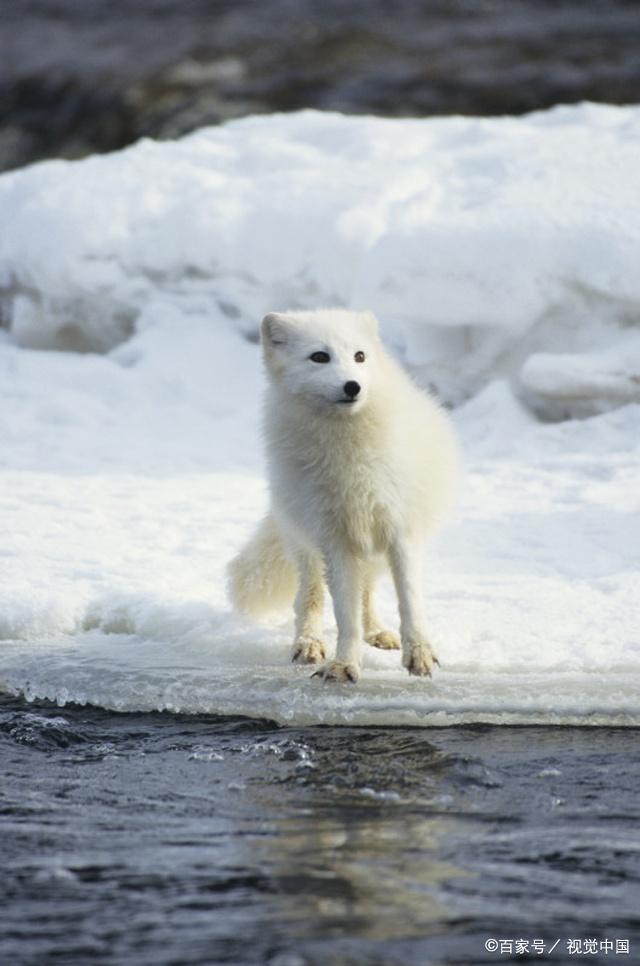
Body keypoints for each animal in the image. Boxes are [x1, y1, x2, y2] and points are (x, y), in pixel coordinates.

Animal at [228, 308, 458, 680]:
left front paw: (420, 654)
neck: (350, 459)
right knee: (310, 596)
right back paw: (308, 643)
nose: (353, 386)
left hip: (374, 550)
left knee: (367, 592)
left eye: (359, 356)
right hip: (306, 544)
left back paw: (376, 633)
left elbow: (409, 601)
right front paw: (344, 664)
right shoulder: (335, 540)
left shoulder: (400, 531)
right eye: (319, 357)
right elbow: (343, 614)